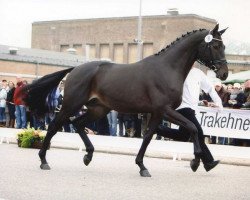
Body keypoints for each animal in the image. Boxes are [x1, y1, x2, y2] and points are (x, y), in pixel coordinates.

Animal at [20, 23, 229, 177]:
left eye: (224, 46)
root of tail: (75, 69)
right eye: (215, 46)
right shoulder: (163, 110)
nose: (224, 74)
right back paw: (44, 160)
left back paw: (88, 155)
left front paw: (143, 166)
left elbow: (151, 135)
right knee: (54, 126)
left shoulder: (159, 113)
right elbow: (190, 128)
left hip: (99, 109)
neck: (167, 69)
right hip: (71, 105)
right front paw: (195, 161)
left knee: (78, 124)